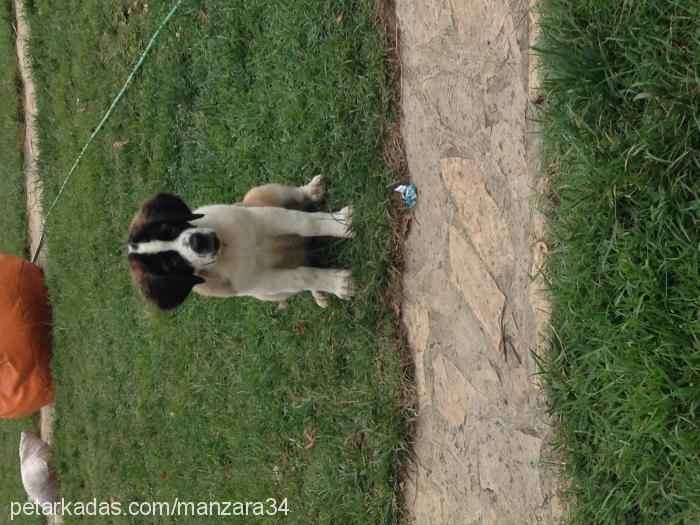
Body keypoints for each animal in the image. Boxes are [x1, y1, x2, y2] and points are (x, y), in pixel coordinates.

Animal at [126, 174, 356, 310]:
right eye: (173, 264)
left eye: (172, 228)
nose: (198, 242)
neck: (228, 248)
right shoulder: (263, 282)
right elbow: (303, 276)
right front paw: (337, 283)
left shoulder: (268, 217)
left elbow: (306, 223)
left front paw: (343, 224)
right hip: (271, 295)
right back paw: (319, 292)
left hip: (263, 193)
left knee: (296, 196)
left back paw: (311, 190)